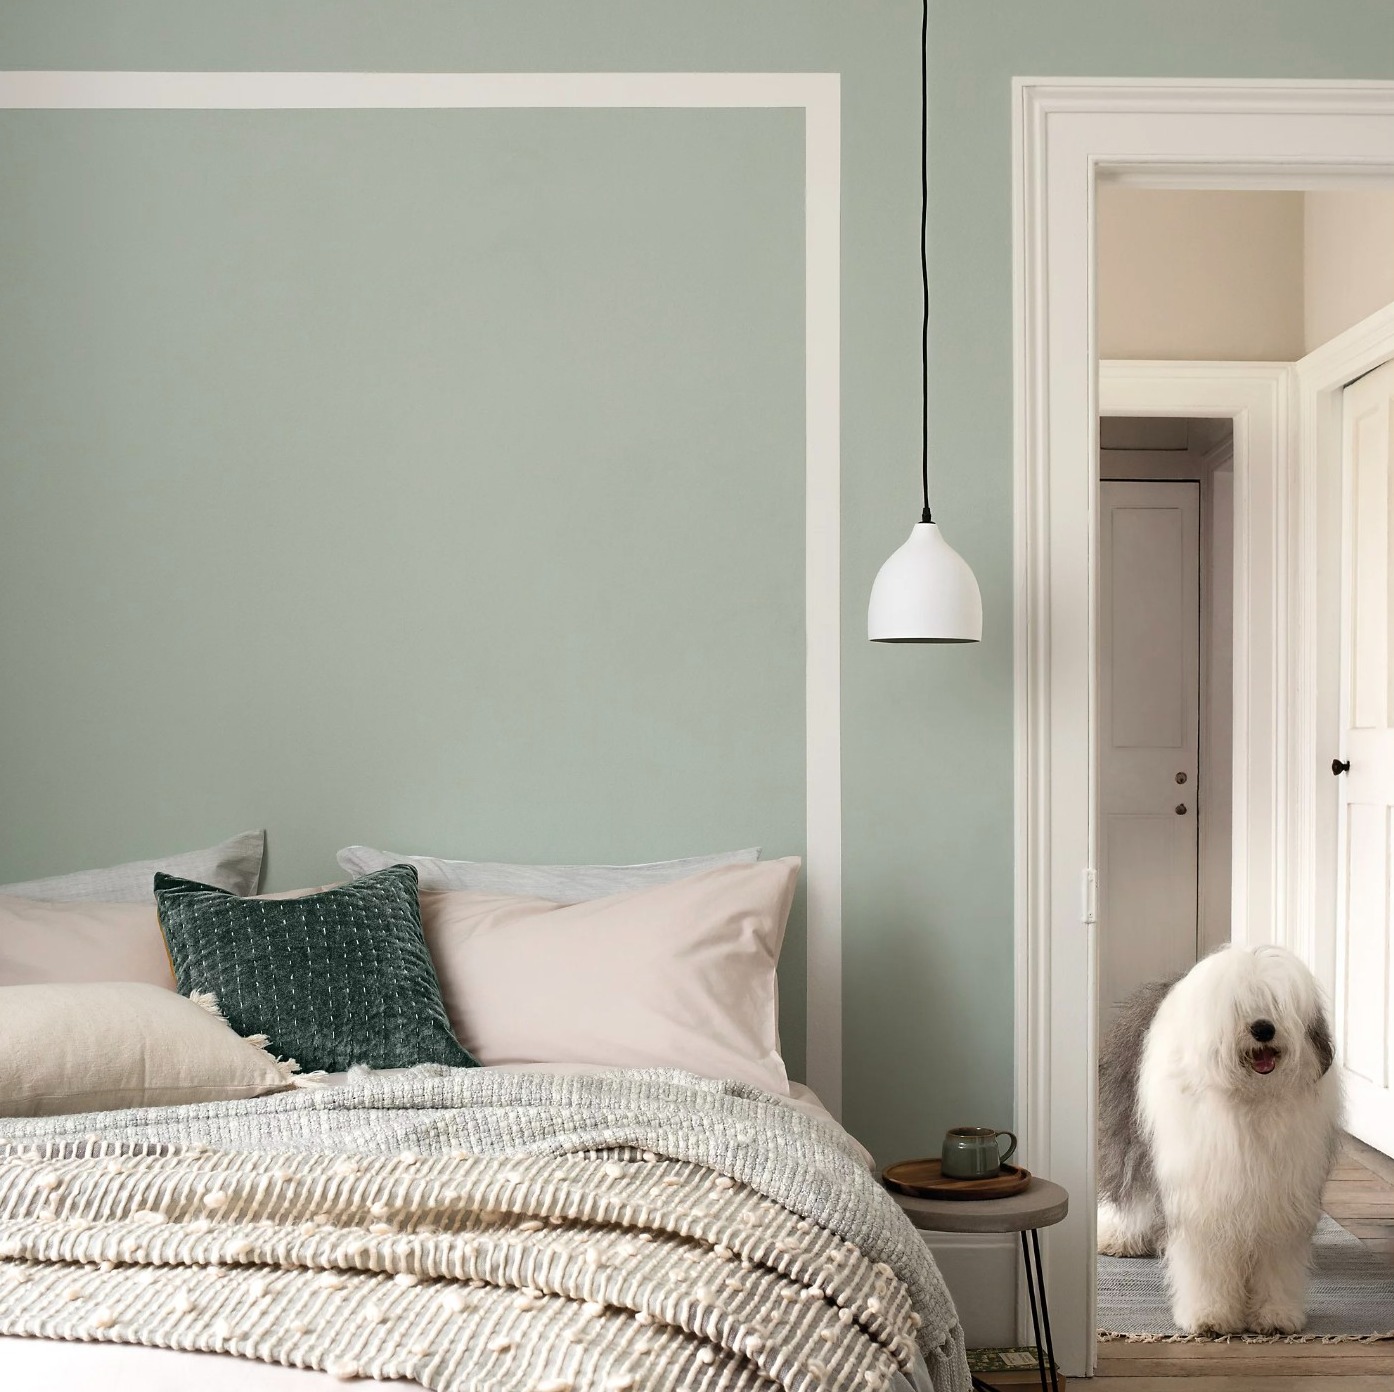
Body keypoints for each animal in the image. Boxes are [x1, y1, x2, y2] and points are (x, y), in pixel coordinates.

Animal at [1098, 947, 1338, 1337]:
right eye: (1238, 1005)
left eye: (1277, 1003)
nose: (1263, 1028)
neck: (1250, 1102)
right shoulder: (1203, 1195)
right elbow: (1206, 1258)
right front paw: (1209, 1316)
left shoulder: (1281, 1197)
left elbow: (1276, 1260)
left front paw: (1276, 1314)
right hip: (1129, 1134)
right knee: (1128, 1190)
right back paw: (1118, 1237)